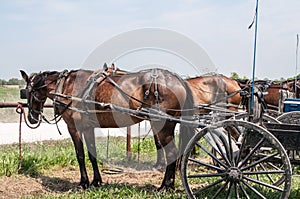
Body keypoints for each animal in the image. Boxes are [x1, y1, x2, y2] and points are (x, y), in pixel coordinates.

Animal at [21, 67, 195, 190]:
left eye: (28, 91)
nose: (31, 118)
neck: (67, 86)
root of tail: (178, 79)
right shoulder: (88, 127)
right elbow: (92, 154)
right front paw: (96, 182)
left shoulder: (74, 128)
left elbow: (80, 155)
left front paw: (83, 183)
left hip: (162, 125)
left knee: (171, 153)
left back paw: (165, 186)